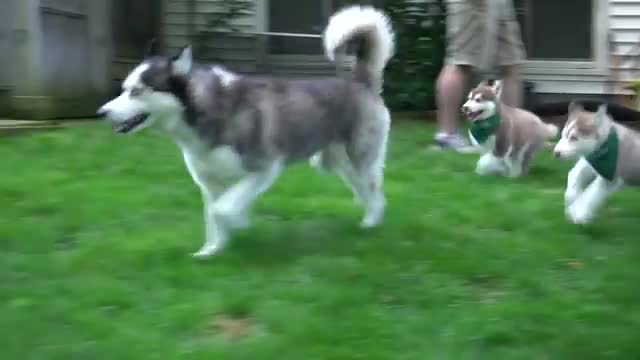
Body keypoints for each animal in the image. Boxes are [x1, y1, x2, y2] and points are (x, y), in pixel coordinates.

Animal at [95, 6, 396, 258]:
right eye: (123, 89)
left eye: (137, 91)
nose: (101, 112)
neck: (204, 112)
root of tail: (360, 82)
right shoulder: (210, 183)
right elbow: (213, 216)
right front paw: (212, 250)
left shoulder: (263, 169)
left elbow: (222, 210)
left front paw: (237, 222)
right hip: (334, 164)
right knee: (366, 191)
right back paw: (368, 220)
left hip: (360, 159)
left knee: (376, 192)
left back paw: (371, 223)